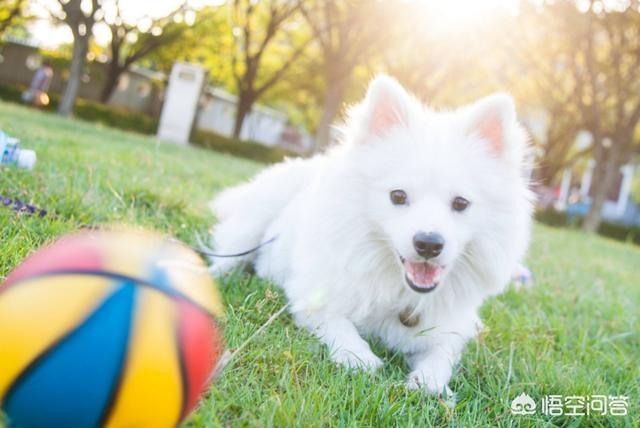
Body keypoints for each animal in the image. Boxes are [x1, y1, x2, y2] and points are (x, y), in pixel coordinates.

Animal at [208, 75, 532, 392]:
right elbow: (339, 324)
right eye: (398, 196)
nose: (429, 243)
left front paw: (430, 381)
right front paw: (358, 356)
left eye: (461, 203)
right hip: (254, 222)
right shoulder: (312, 296)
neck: (400, 291)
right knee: (227, 257)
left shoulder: (443, 330)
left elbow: (442, 355)